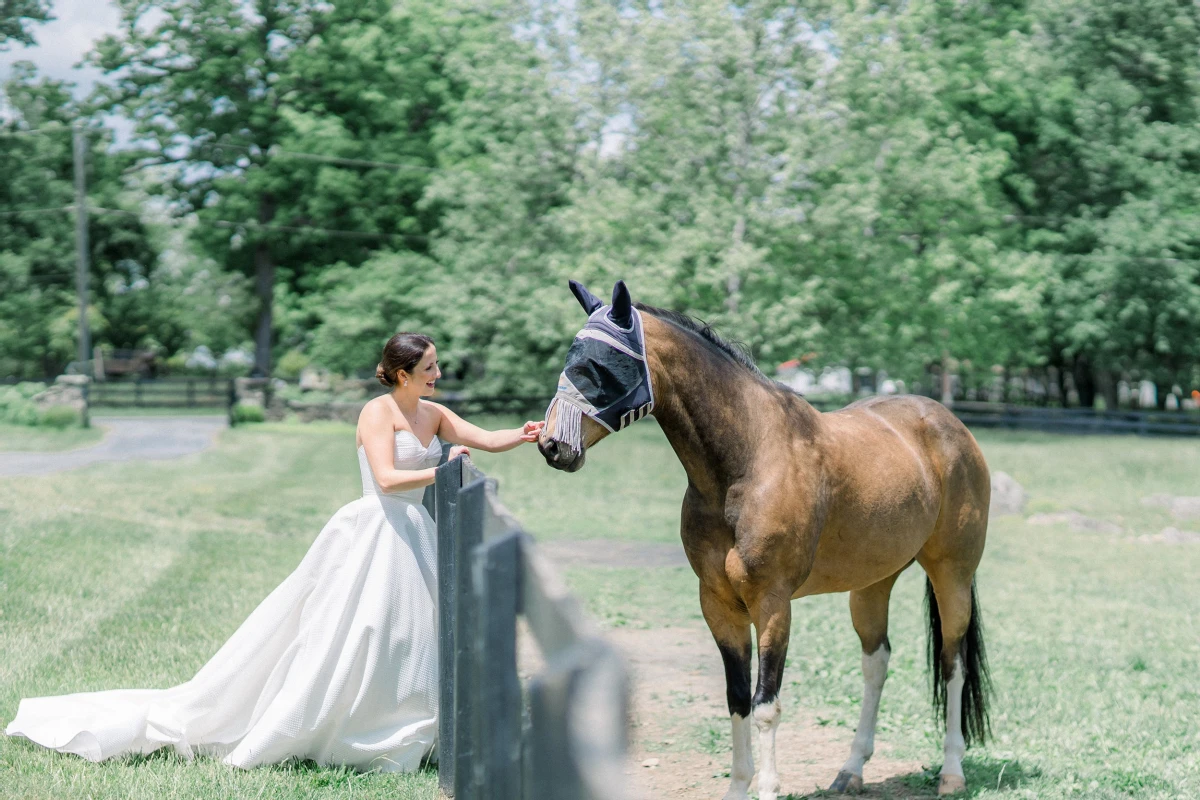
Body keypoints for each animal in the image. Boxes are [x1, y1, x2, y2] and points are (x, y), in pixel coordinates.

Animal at [540, 280, 988, 796]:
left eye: (599, 365)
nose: (552, 445)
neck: (748, 462)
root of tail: (949, 425)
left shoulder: (772, 603)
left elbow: (766, 704)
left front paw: (768, 787)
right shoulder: (718, 603)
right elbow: (737, 697)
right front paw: (738, 787)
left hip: (952, 574)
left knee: (954, 663)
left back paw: (951, 771)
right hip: (873, 584)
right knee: (876, 662)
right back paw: (851, 770)